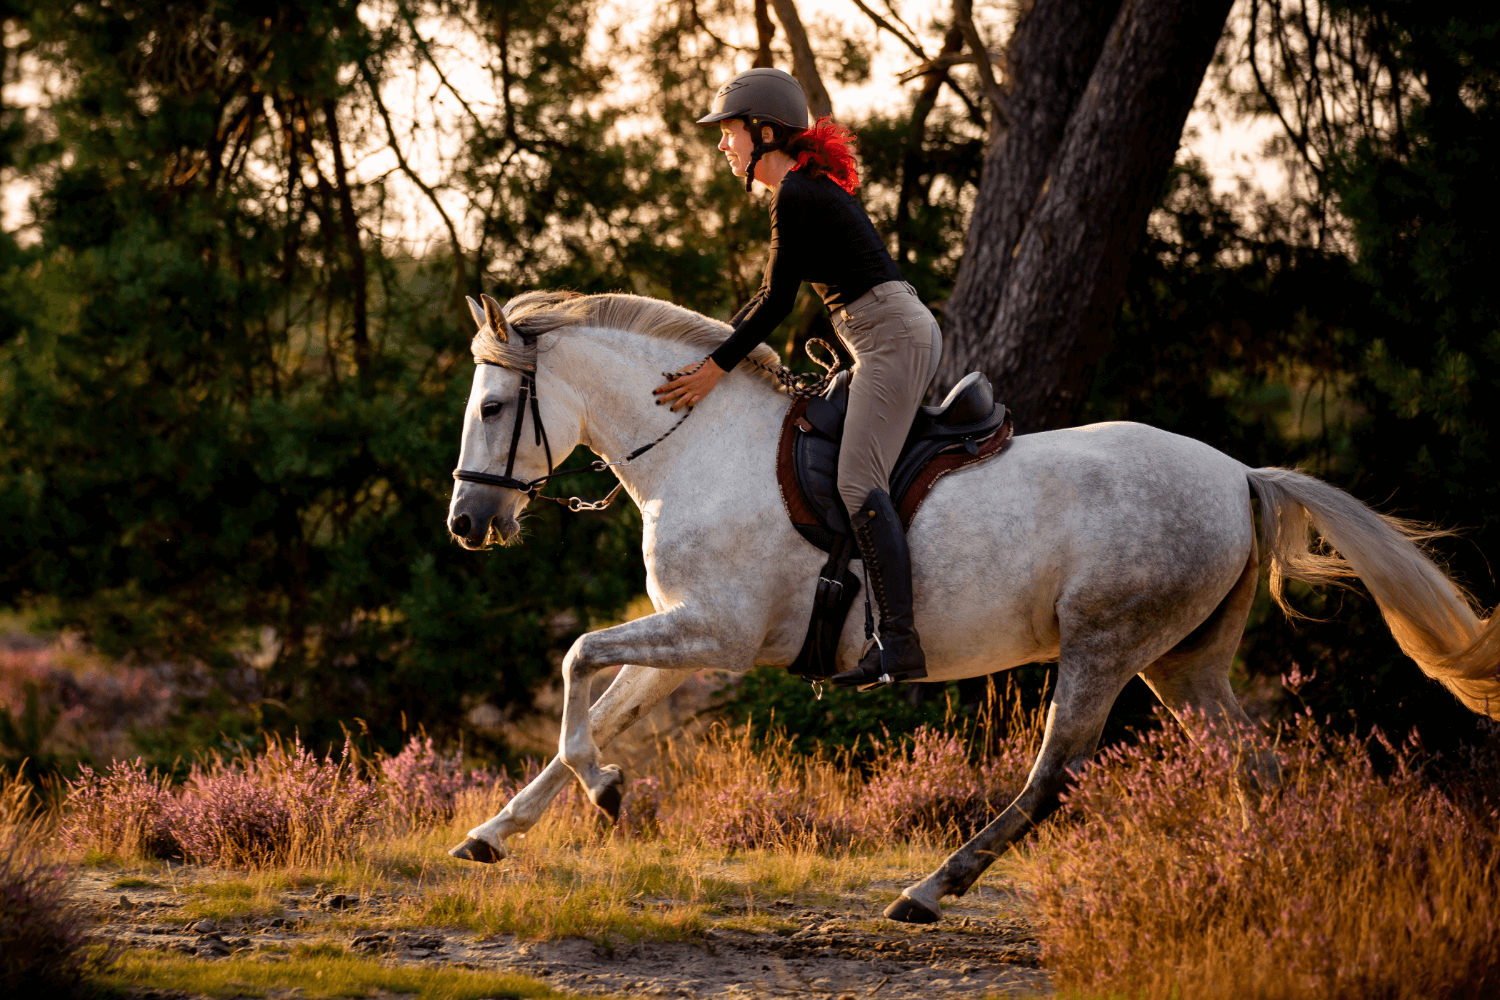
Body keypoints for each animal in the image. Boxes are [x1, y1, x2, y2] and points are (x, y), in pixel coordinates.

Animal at [441, 289, 1500, 923]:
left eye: (492, 408)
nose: (466, 522)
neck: (697, 445)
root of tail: (1240, 474)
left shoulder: (716, 633)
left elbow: (579, 660)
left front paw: (607, 793)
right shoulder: (695, 639)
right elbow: (598, 709)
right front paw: (497, 833)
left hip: (1105, 648)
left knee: (1055, 776)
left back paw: (928, 890)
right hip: (1184, 662)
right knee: (1255, 766)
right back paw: (1258, 885)